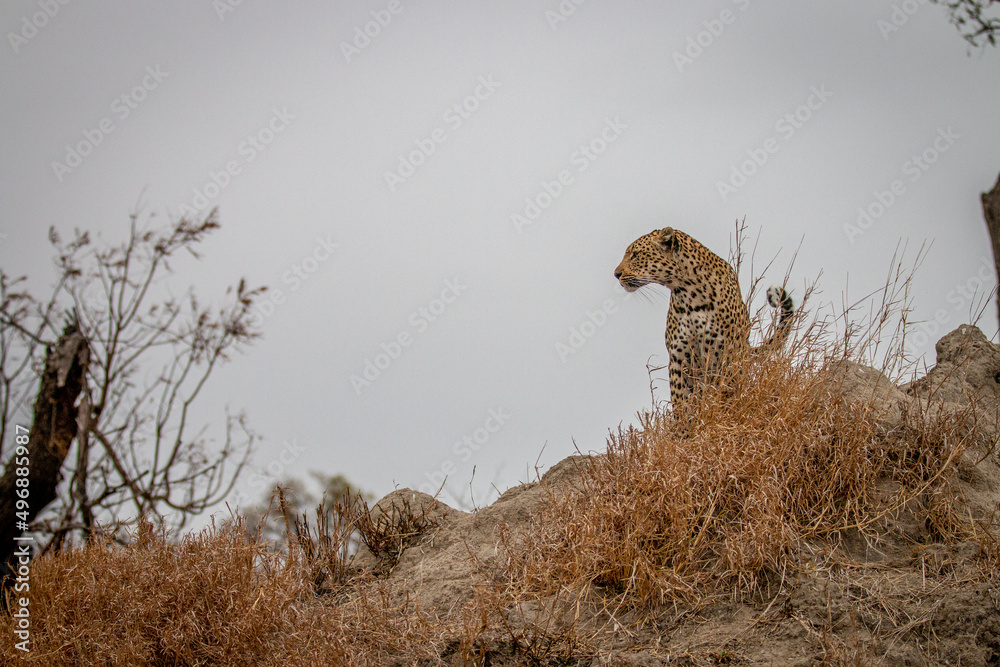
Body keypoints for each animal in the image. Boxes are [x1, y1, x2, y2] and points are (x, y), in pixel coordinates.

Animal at [612, 230, 792, 404]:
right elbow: (680, 400)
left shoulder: (724, 354)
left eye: (635, 254)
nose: (616, 274)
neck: (690, 296)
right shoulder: (679, 357)